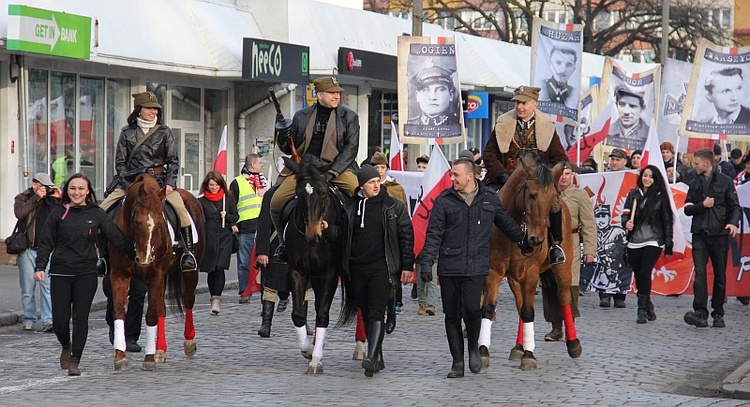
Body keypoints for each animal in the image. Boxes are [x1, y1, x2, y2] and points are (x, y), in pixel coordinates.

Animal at [107, 174, 204, 372]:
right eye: (137, 222)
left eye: (160, 223)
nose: (144, 259)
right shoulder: (119, 275)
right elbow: (119, 312)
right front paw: (120, 356)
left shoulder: (155, 276)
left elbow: (151, 315)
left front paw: (149, 358)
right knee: (162, 308)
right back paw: (160, 349)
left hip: (190, 272)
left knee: (188, 299)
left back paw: (188, 342)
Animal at [478, 153, 584, 370]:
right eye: (532, 195)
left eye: (551, 198)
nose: (537, 240)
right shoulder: (494, 272)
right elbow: (490, 308)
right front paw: (483, 351)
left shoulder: (531, 274)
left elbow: (528, 311)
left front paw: (529, 355)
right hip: (514, 278)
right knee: (520, 304)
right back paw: (518, 346)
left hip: (562, 267)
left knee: (563, 297)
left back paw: (573, 343)